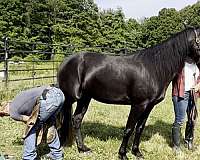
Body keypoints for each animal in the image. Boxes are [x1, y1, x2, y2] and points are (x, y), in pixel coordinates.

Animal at [57, 26, 200, 159]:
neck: (153, 68)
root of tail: (65, 62)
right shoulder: (138, 105)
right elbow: (129, 129)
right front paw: (123, 154)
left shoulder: (149, 106)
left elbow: (139, 128)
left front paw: (136, 152)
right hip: (69, 98)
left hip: (85, 98)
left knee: (76, 120)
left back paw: (82, 148)